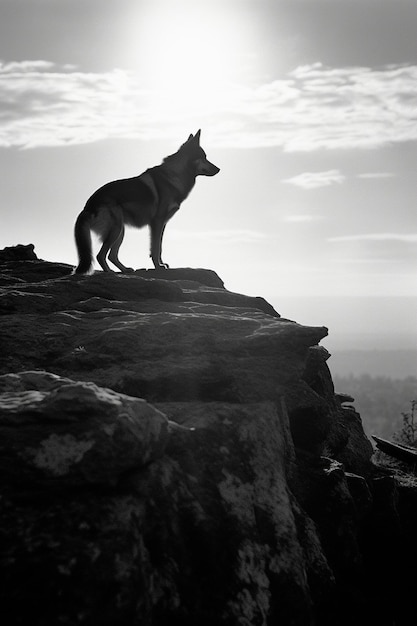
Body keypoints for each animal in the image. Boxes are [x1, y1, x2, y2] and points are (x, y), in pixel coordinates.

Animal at [73, 128, 219, 272]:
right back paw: (111, 272)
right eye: (204, 157)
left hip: (120, 231)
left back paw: (125, 270)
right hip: (116, 230)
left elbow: (159, 247)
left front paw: (161, 264)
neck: (174, 175)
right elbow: (155, 248)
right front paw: (158, 267)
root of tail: (87, 206)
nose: (219, 169)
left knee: (111, 256)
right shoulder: (157, 222)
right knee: (101, 255)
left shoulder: (162, 223)